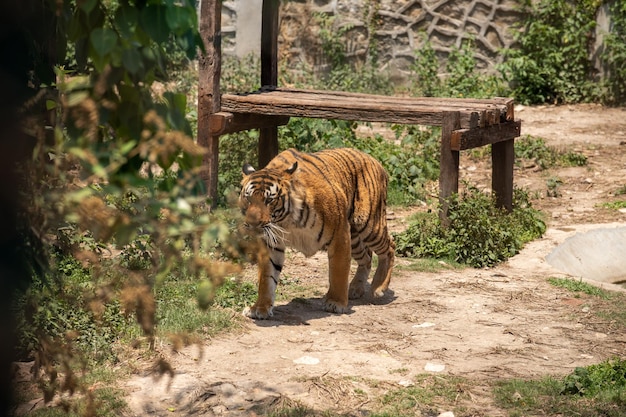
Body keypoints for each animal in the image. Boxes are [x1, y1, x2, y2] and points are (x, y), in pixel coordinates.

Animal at [236, 146, 392, 318]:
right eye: (249, 199)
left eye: (269, 200)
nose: (253, 224)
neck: (287, 221)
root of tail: (374, 160)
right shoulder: (271, 243)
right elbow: (266, 277)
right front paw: (259, 308)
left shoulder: (340, 235)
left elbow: (338, 272)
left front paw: (336, 303)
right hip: (355, 237)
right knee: (367, 257)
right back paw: (355, 289)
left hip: (369, 224)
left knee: (390, 247)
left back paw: (379, 287)